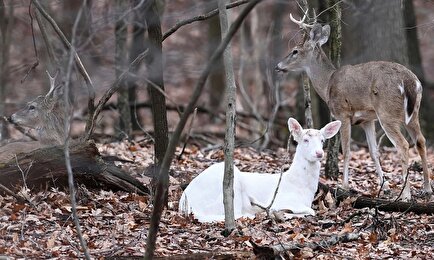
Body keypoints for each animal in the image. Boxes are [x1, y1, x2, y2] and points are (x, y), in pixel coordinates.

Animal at [178, 117, 340, 221]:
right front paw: (284, 214)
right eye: (305, 140)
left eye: (322, 140)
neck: (302, 188)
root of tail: (184, 205)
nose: (319, 153)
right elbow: (311, 211)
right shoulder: (280, 199)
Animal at [276, 11, 432, 201]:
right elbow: (374, 152)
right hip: (413, 113)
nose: (278, 66)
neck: (328, 85)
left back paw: (406, 194)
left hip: (387, 112)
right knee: (420, 141)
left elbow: (347, 150)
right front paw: (385, 187)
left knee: (403, 144)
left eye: (295, 51)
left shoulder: (343, 113)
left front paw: (344, 186)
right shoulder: (367, 119)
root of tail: (410, 81)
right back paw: (427, 189)